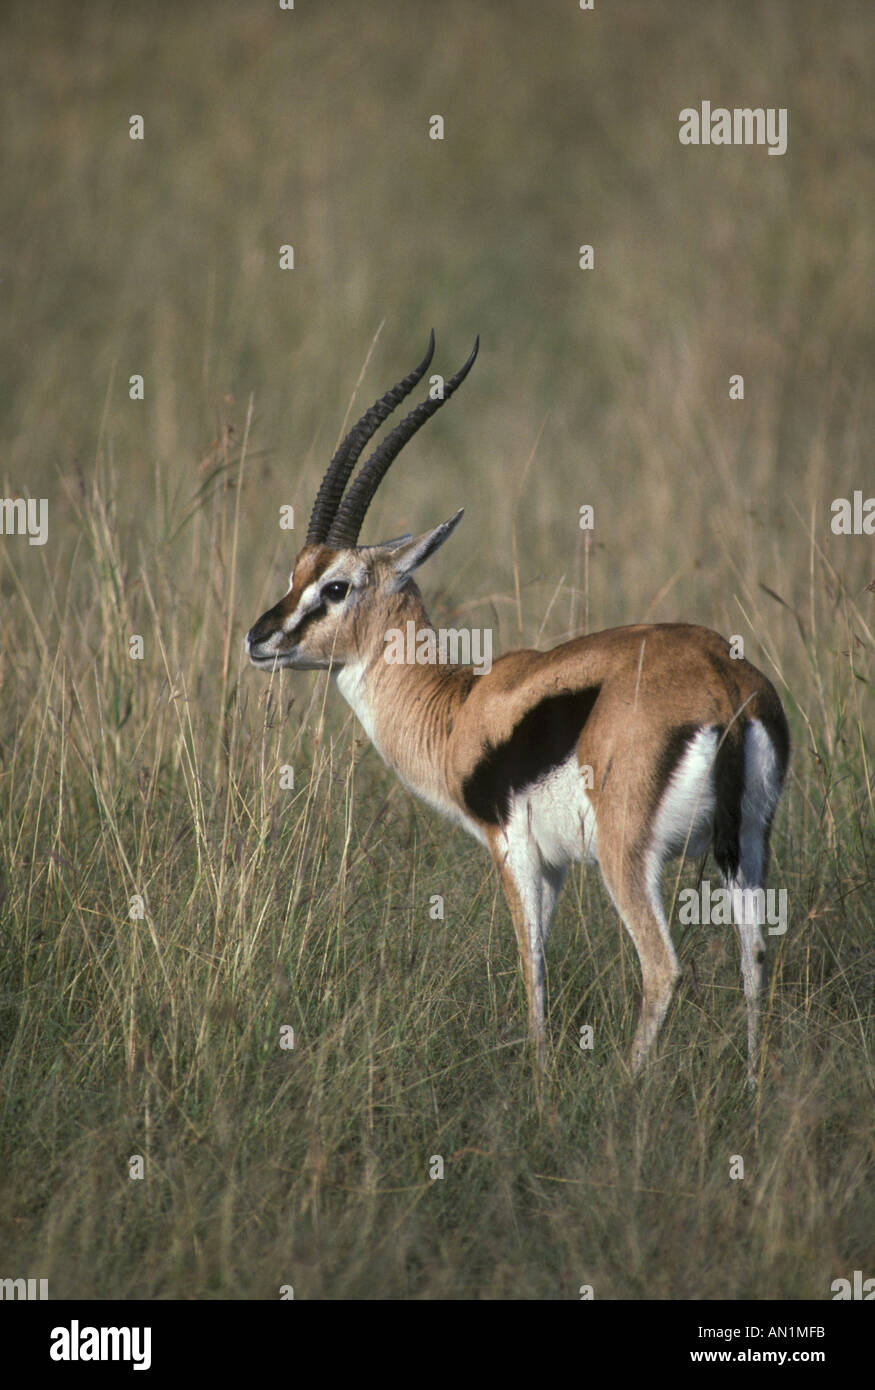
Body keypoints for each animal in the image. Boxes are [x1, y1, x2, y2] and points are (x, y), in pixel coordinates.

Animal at [246, 335, 790, 1084]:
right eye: (295, 572)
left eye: (335, 586)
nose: (258, 638)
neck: (456, 707)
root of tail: (724, 685)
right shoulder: (553, 864)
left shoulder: (515, 851)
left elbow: (530, 967)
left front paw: (538, 1081)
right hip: (748, 848)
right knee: (755, 958)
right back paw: (752, 1088)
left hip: (628, 858)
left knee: (663, 969)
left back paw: (627, 1089)